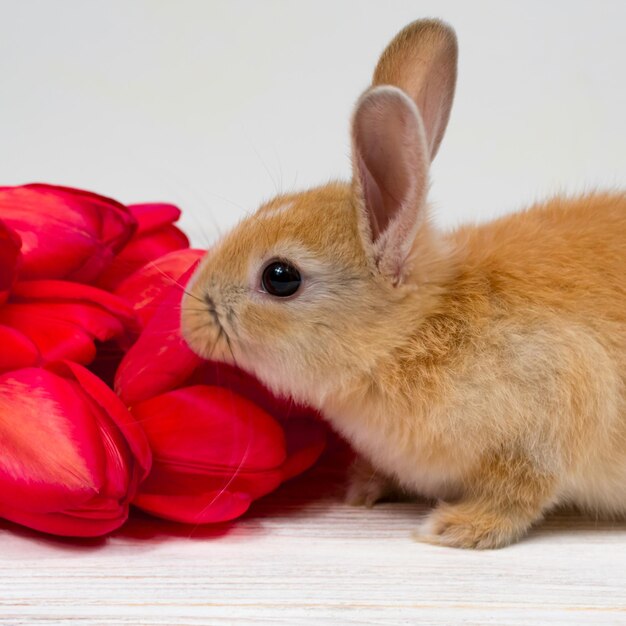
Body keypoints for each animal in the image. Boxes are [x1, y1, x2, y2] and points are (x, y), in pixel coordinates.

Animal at [180, 18, 624, 544]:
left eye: (280, 277)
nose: (187, 322)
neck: (408, 335)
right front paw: (364, 490)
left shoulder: (553, 410)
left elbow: (520, 491)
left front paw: (455, 529)